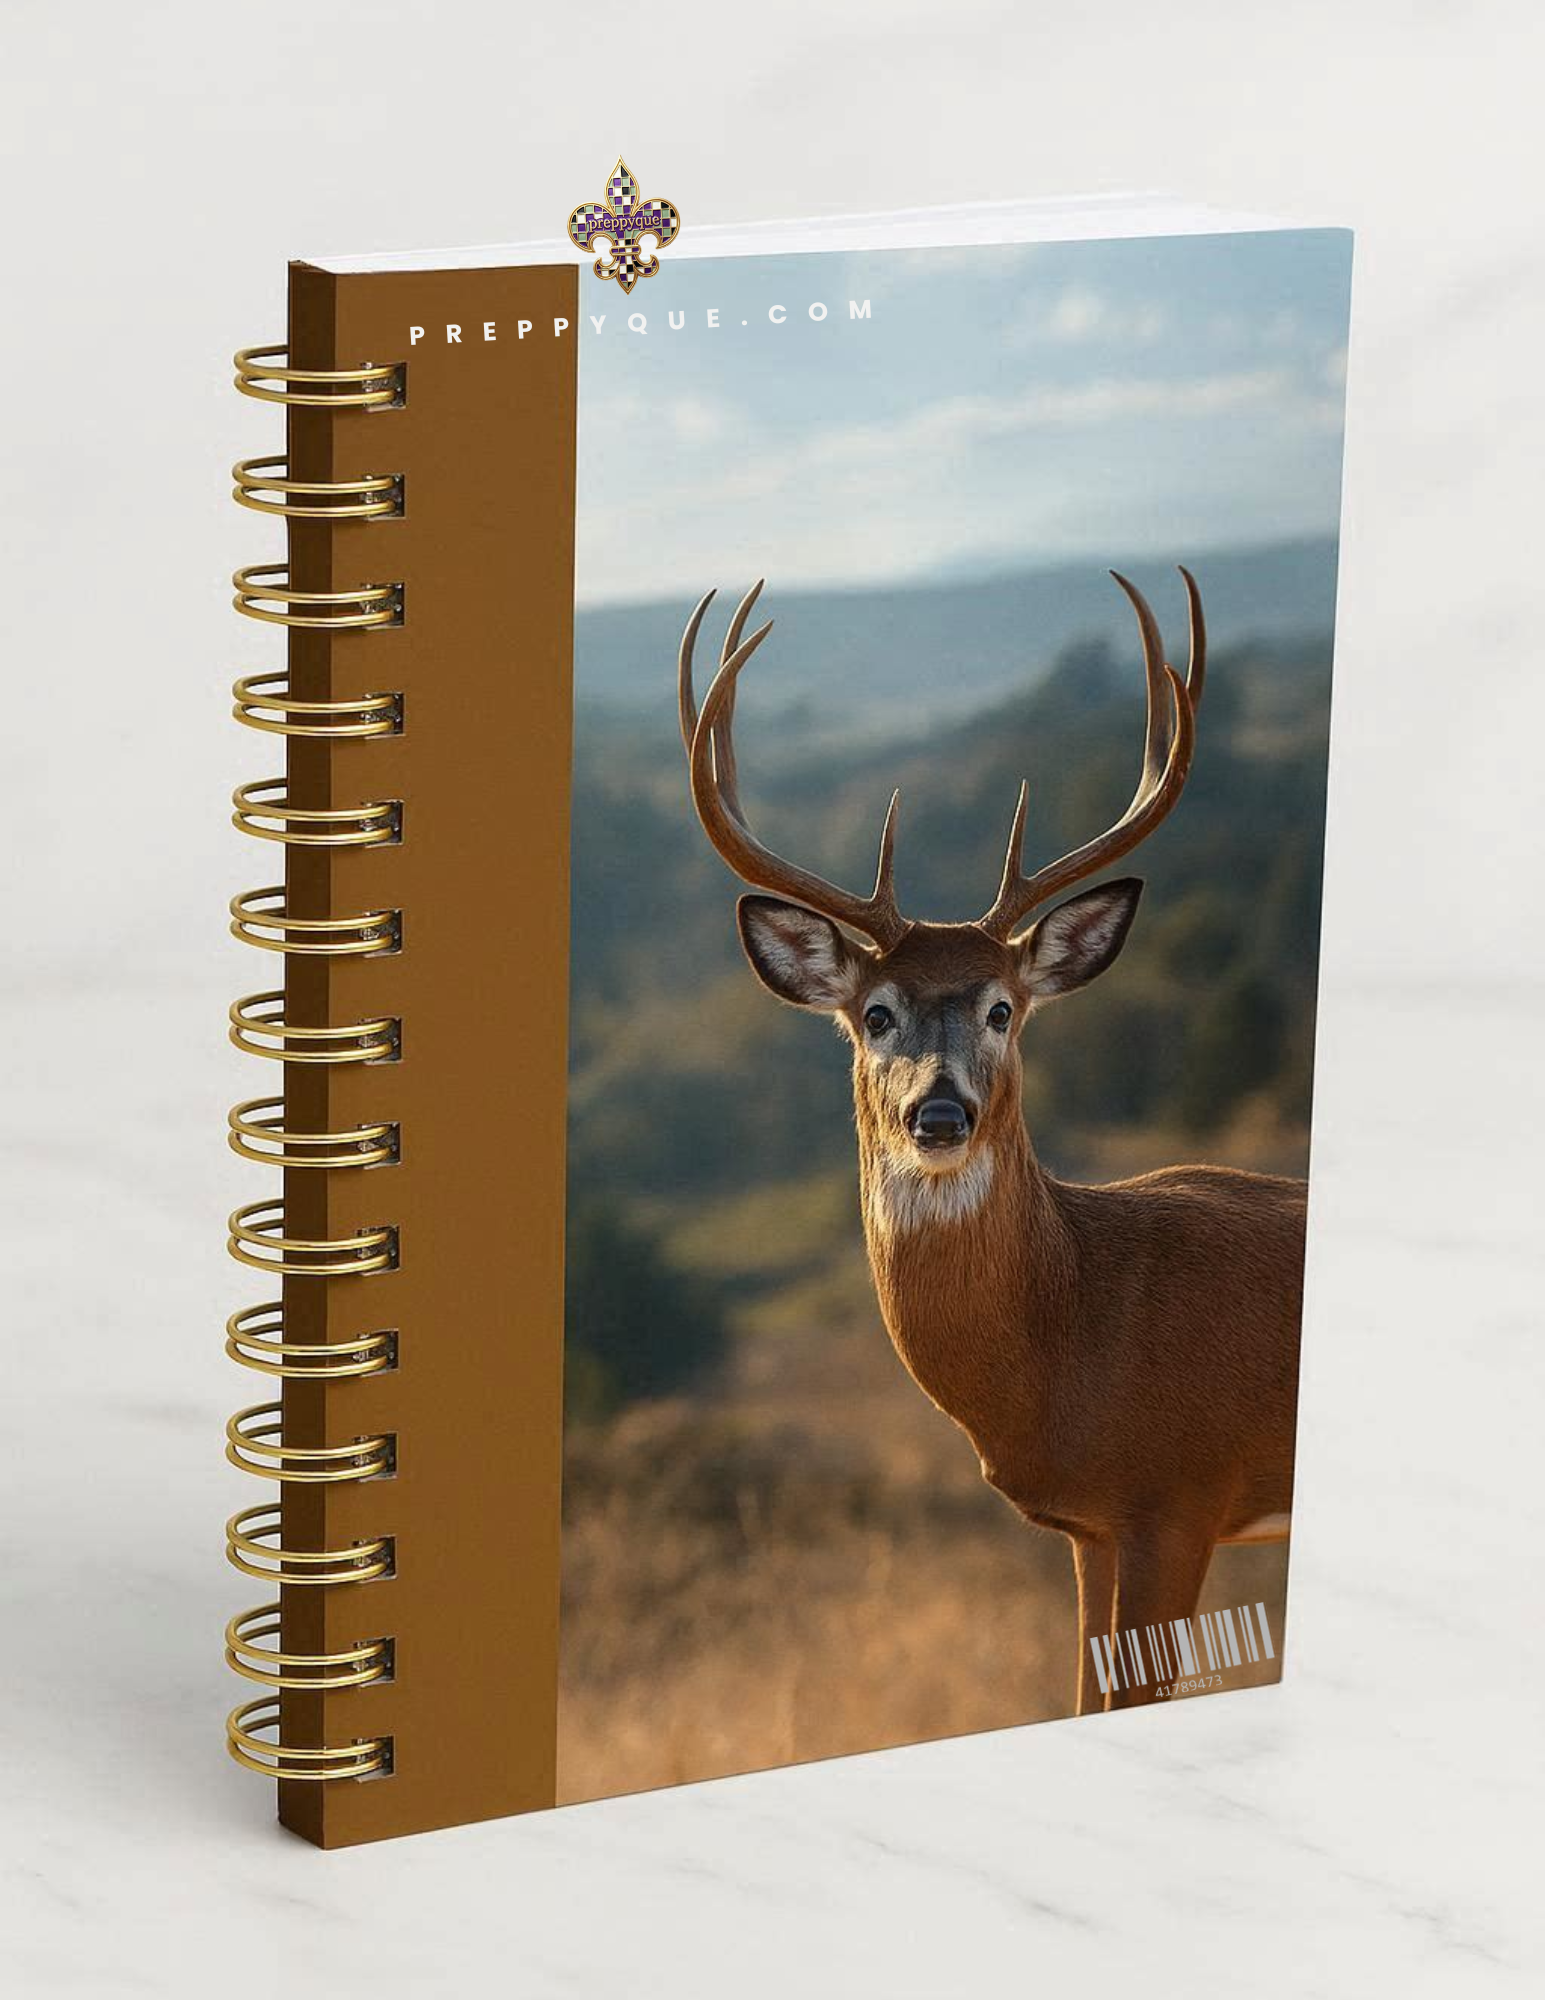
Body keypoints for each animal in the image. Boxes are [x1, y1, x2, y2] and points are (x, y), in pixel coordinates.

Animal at [677, 570, 1305, 1716]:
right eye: (875, 1012)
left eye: (1004, 1008)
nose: (939, 1114)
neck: (1080, 1320)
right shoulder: (1093, 1528)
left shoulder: (1181, 1495)